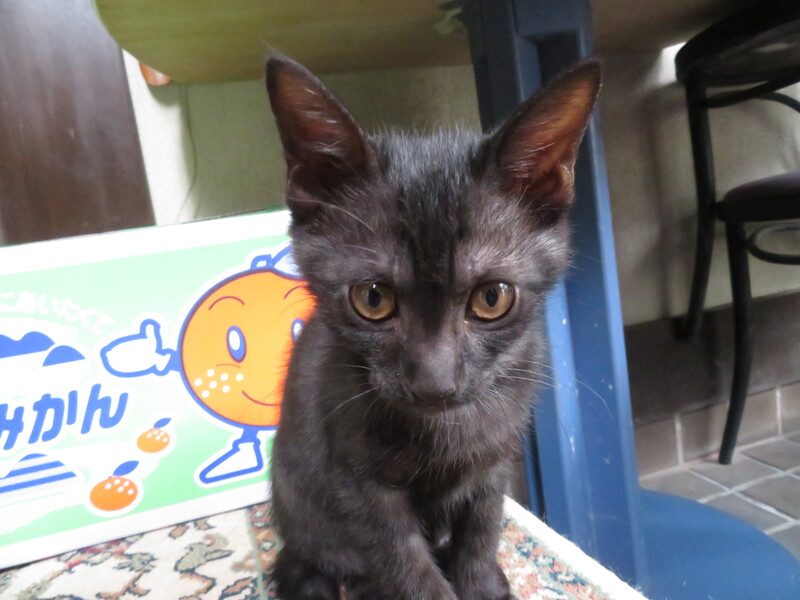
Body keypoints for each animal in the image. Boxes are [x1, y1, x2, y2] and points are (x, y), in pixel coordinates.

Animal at [265, 55, 600, 600]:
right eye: (373, 298)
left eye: (491, 298)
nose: (433, 383)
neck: (446, 431)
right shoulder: (359, 485)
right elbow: (407, 568)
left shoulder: (494, 466)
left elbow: (482, 532)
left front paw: (483, 584)